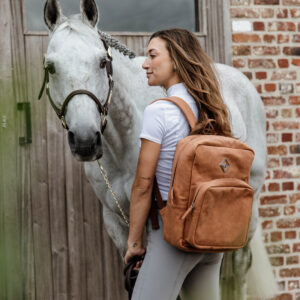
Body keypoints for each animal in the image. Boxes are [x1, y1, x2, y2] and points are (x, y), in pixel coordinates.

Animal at [41, 0, 276, 298]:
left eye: (102, 62)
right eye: (50, 67)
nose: (85, 140)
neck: (124, 143)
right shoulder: (116, 222)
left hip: (250, 206)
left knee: (242, 263)